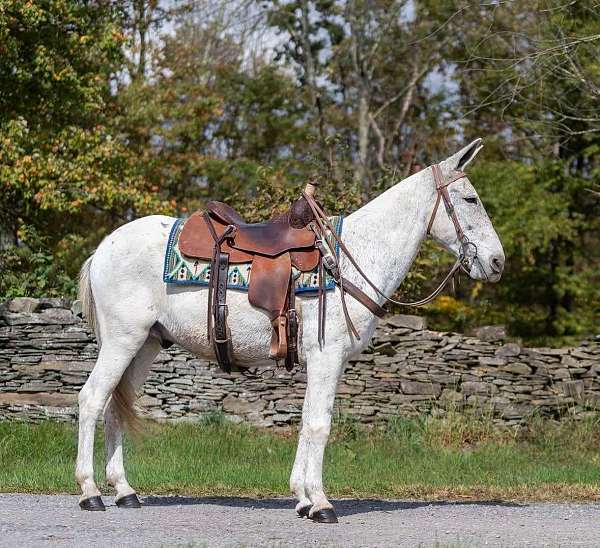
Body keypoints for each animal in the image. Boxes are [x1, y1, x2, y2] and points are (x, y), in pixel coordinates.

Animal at [77, 139, 504, 520]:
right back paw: (90, 492)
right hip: (122, 340)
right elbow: (319, 424)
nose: (497, 261)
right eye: (470, 200)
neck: (350, 258)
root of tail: (103, 248)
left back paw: (125, 492)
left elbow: (304, 421)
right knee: (92, 399)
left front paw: (302, 498)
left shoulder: (323, 362)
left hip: (145, 345)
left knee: (115, 407)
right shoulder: (326, 357)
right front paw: (321, 503)